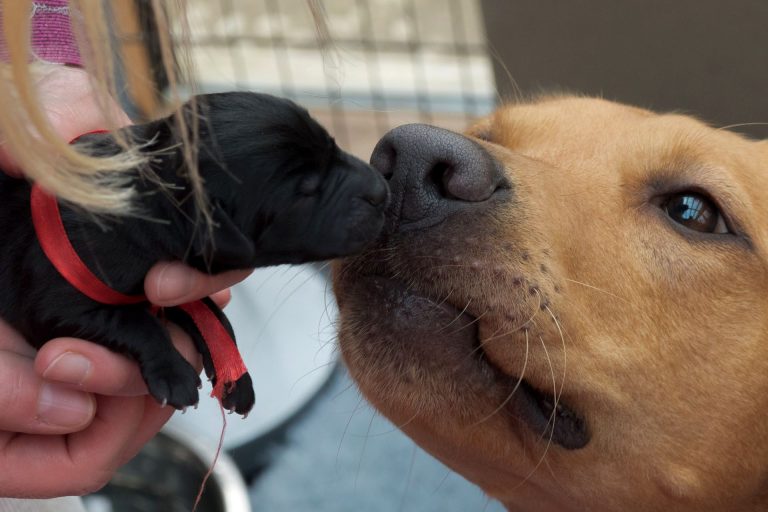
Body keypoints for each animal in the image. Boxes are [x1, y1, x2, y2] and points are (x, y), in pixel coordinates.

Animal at [0, 93, 388, 416]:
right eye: (306, 190)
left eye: (333, 146)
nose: (382, 190)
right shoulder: (54, 302)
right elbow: (133, 321)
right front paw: (172, 373)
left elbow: (215, 316)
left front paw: (236, 380)